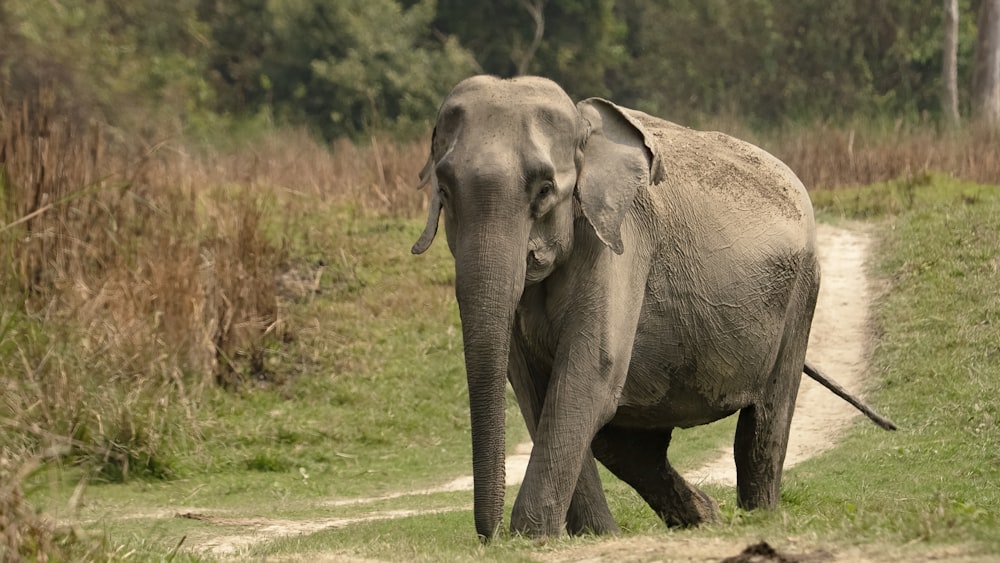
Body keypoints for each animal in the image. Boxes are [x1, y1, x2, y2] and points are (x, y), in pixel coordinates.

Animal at [410, 76, 896, 540]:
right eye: (444, 191)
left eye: (545, 190)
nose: (489, 537)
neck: (585, 129)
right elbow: (535, 387)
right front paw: (592, 536)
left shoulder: (621, 239)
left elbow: (590, 372)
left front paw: (534, 537)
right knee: (624, 443)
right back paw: (706, 517)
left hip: (801, 295)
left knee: (763, 425)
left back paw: (757, 517)